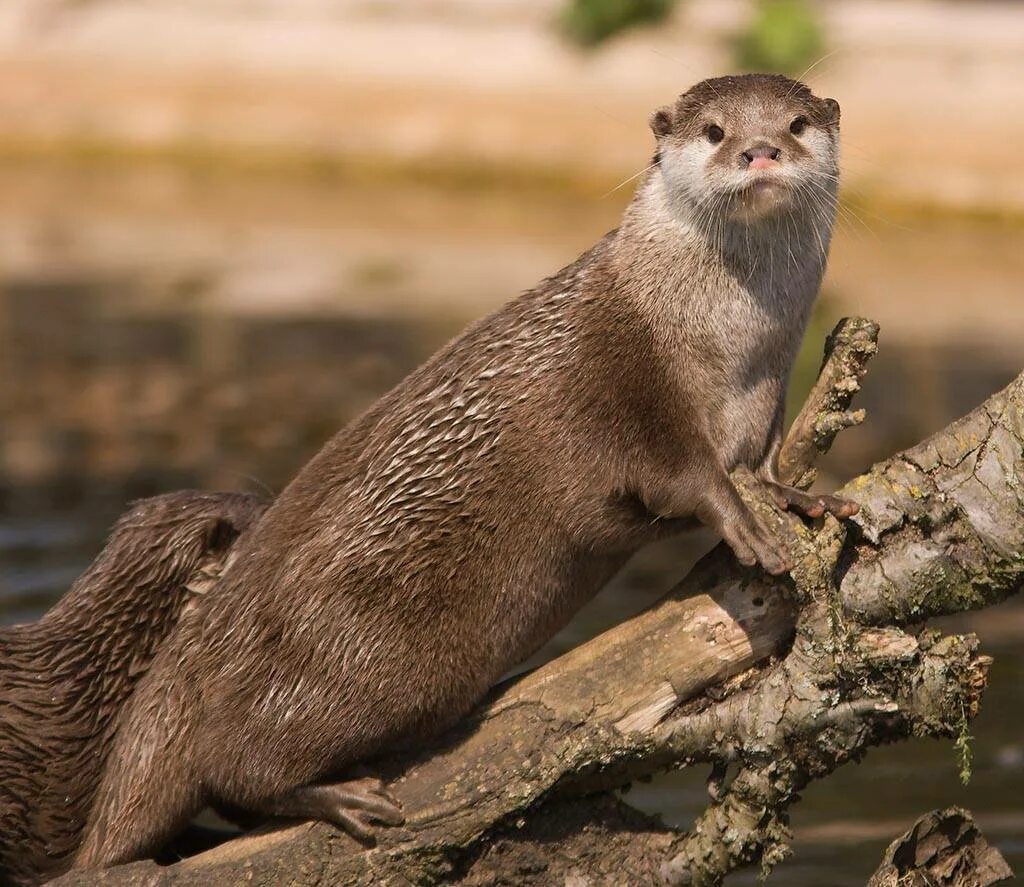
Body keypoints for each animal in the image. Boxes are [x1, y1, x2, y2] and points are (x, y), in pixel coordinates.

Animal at [75, 72, 851, 868]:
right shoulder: (625, 379)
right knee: (239, 767)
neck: (720, 343)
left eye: (795, 122)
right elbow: (680, 473)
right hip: (356, 656)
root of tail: (193, 648)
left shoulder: (767, 390)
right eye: (715, 131)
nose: (760, 150)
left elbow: (762, 457)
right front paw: (742, 520)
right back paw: (338, 796)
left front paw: (796, 495)